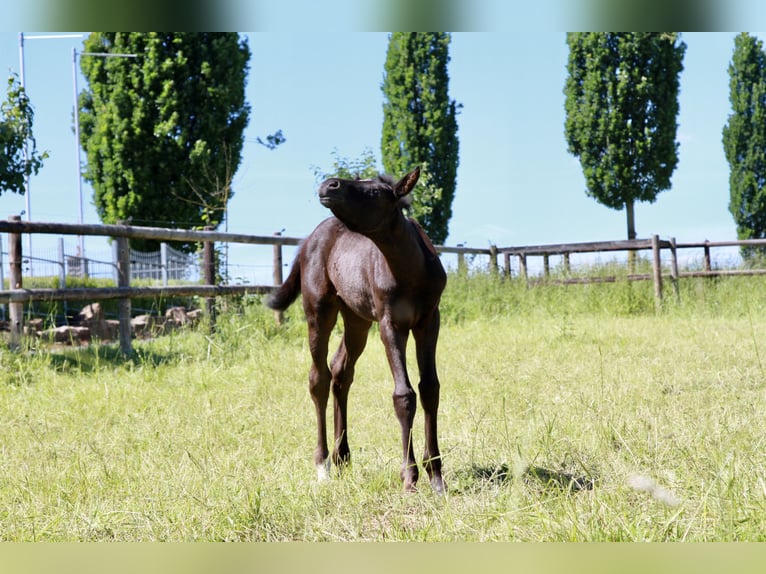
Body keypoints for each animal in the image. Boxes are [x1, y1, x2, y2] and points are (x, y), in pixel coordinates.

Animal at [266, 167, 447, 493]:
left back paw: (342, 456)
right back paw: (323, 464)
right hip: (319, 310)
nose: (329, 185)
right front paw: (409, 478)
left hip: (356, 319)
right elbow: (404, 395)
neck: (410, 269)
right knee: (319, 378)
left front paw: (436, 476)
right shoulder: (391, 324)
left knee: (341, 371)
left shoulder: (429, 320)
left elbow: (430, 388)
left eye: (374, 192)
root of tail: (308, 240)